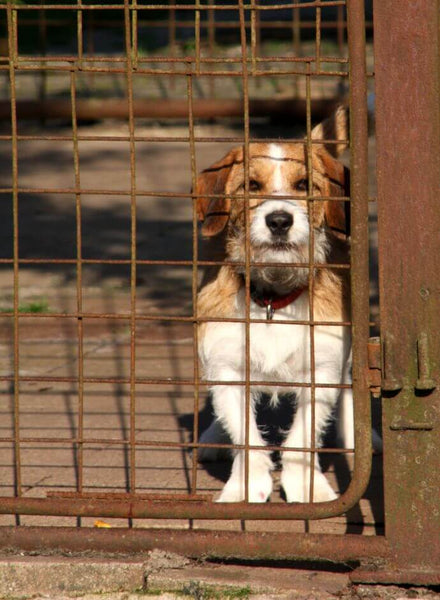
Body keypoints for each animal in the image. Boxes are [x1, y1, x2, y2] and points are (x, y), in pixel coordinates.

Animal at [195, 108, 358, 502]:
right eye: (252, 185)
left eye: (304, 185)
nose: (280, 220)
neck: (273, 298)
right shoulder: (227, 369)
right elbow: (246, 437)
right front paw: (244, 489)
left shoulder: (322, 369)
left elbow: (303, 436)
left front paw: (308, 489)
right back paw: (212, 437)